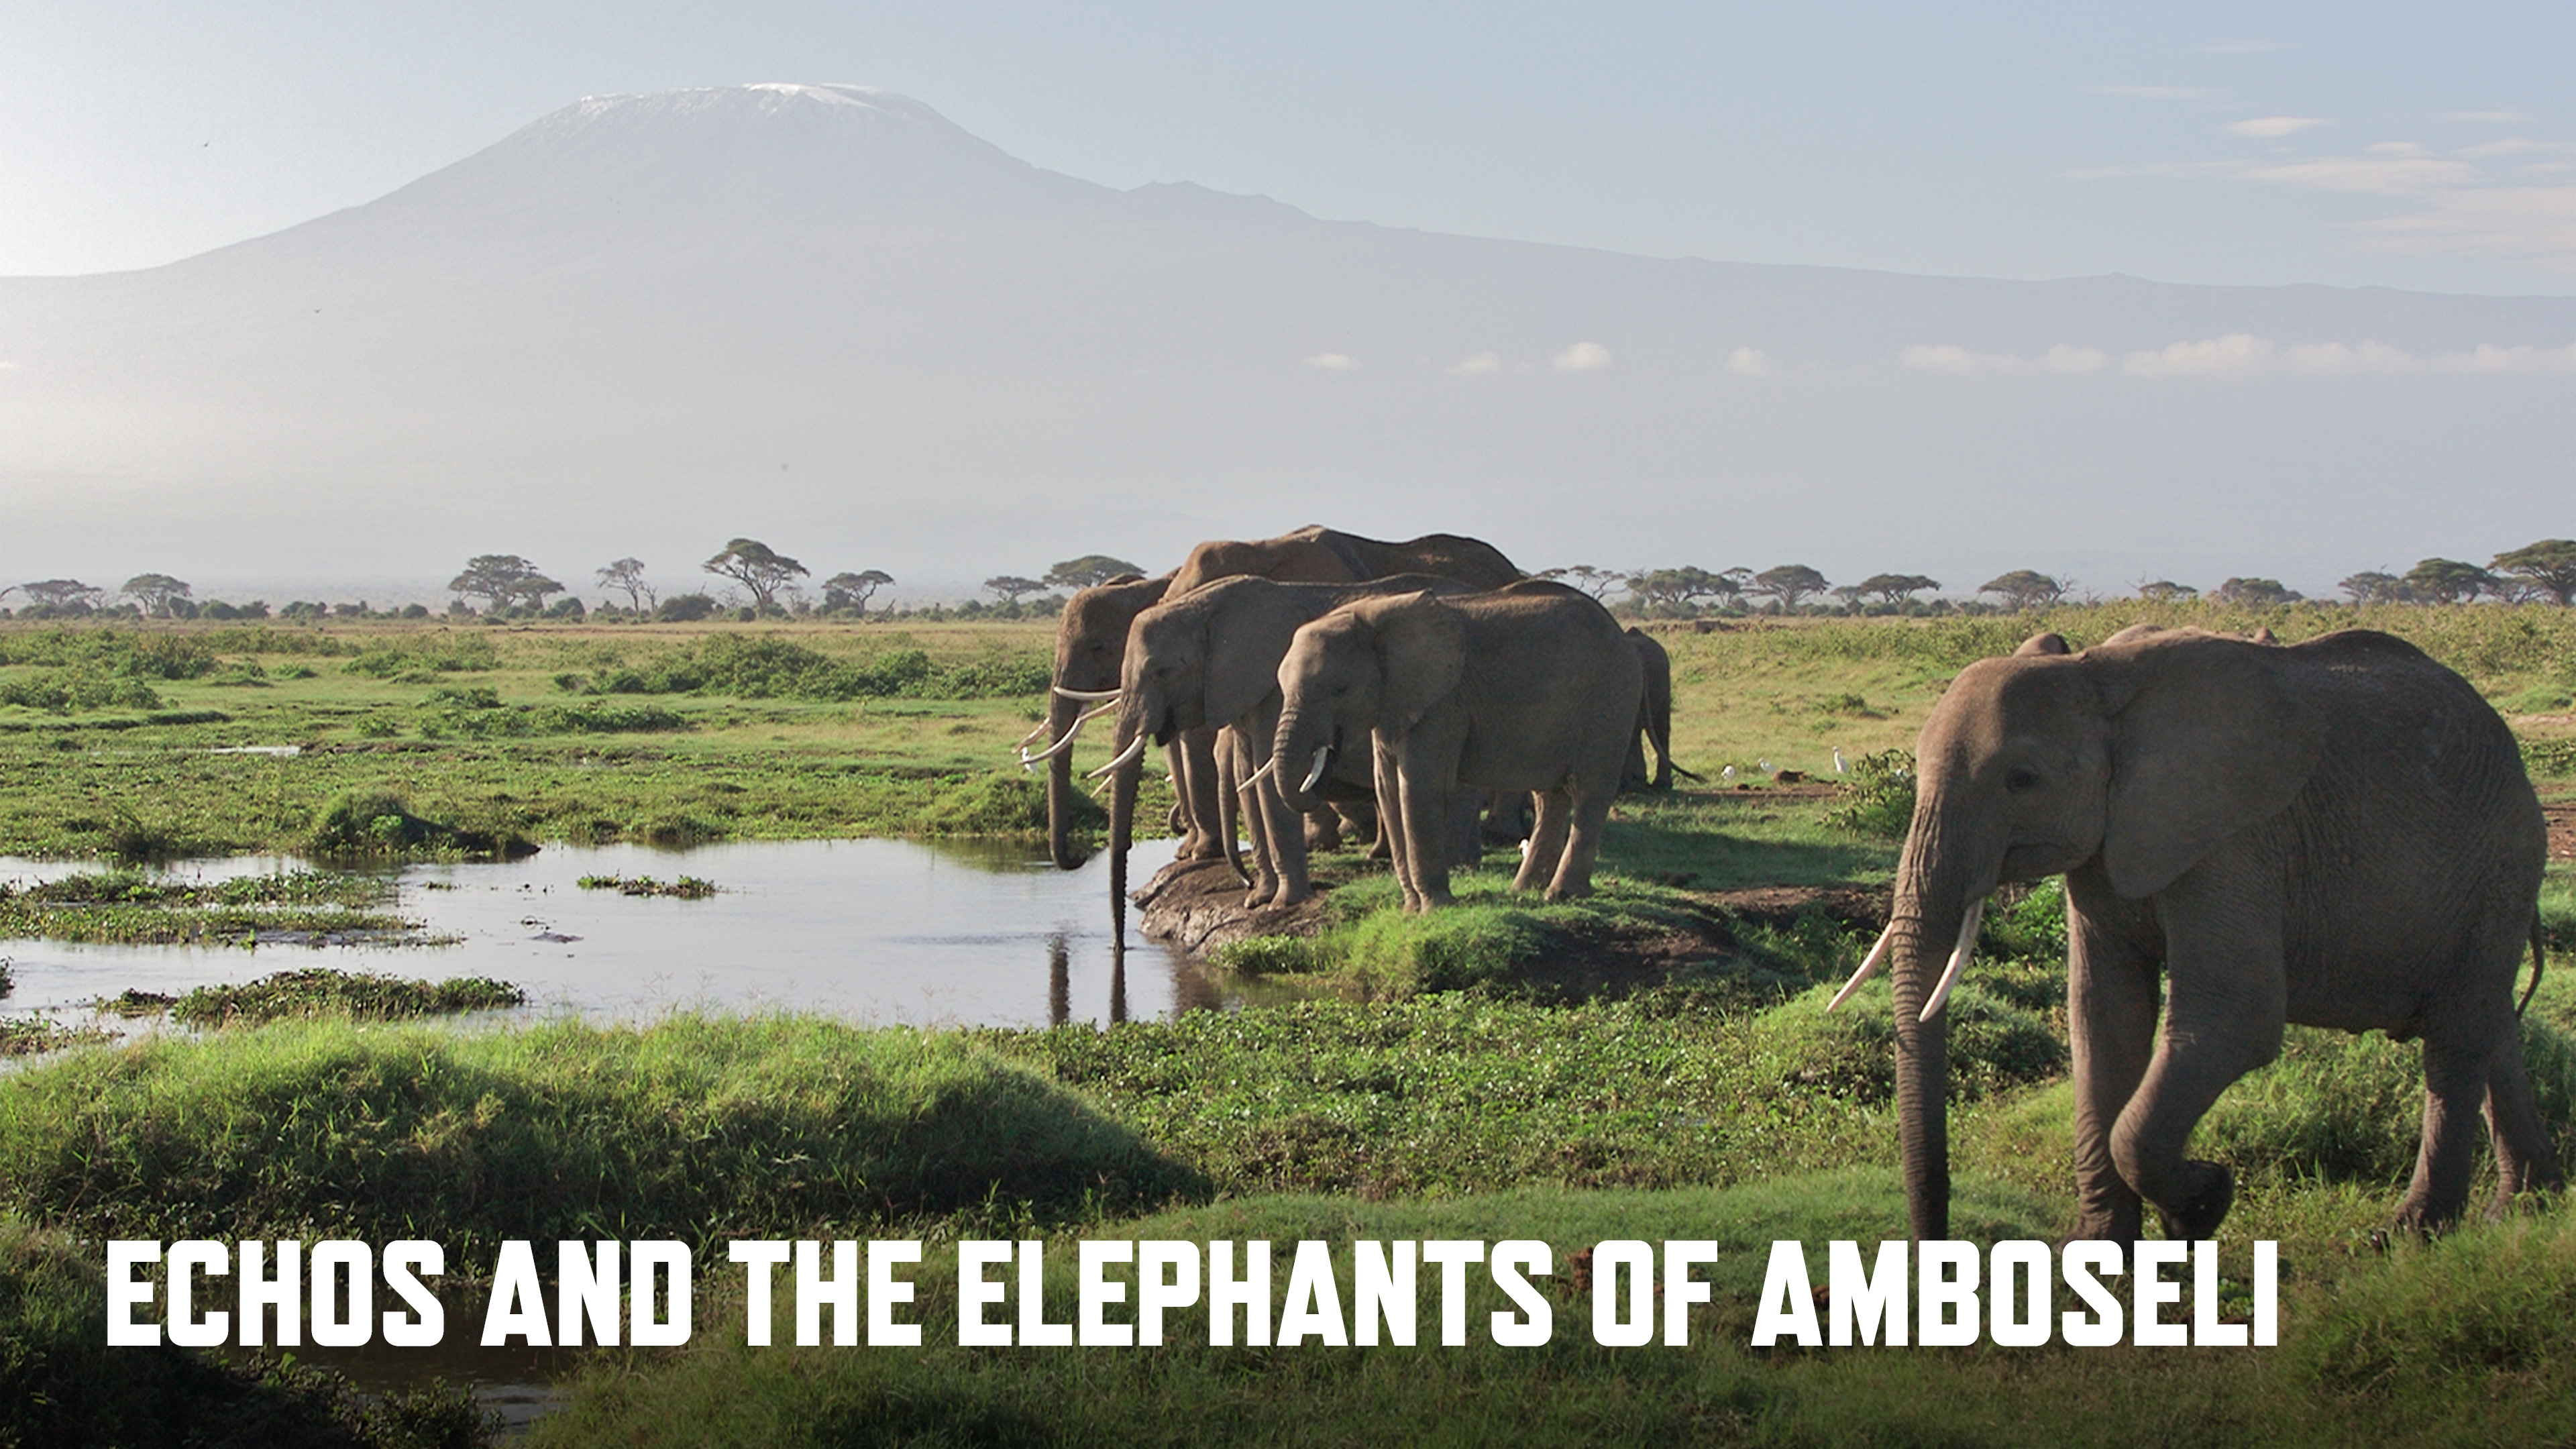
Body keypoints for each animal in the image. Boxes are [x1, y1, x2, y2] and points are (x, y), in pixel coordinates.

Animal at [1272, 581, 1643, 909]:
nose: (1324, 754)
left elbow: (1419, 787)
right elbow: (1388, 789)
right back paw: (1523, 891)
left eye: (1341, 689)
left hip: (1611, 701)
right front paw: (1411, 911)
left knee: (1590, 790)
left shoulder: (1442, 702)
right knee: (1551, 798)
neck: (1373, 616)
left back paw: (1562, 894)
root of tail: (1621, 633)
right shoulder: (1394, 698)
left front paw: (1436, 907)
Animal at [1830, 624, 2559, 1243]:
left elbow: (2234, 1016)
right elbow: (2105, 1015)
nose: (1933, 1251)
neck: (2097, 676)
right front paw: (2097, 1255)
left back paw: (2409, 1235)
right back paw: (2523, 1208)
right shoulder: (2110, 840)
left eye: (2023, 779)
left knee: (2457, 1038)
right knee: (2489, 1026)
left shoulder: (2234, 838)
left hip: (2503, 862)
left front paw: (2203, 1205)